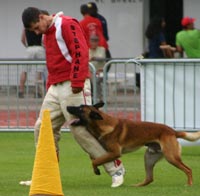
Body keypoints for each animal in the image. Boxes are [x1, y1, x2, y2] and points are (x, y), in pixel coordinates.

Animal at [67, 102, 200, 186]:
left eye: (80, 109)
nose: (67, 106)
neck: (102, 123)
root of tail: (173, 131)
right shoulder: (106, 151)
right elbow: (95, 158)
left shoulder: (115, 153)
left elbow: (95, 161)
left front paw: (96, 169)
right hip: (149, 158)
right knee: (149, 178)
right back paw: (136, 186)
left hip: (171, 157)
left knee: (188, 169)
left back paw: (189, 184)